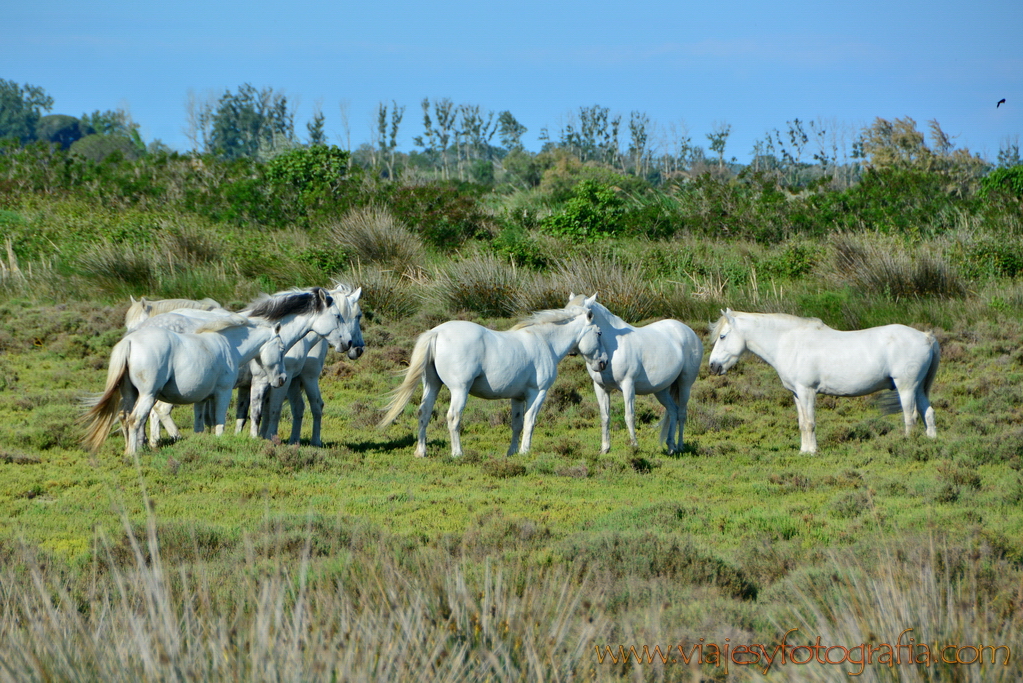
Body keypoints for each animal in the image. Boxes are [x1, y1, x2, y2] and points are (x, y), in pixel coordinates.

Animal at [83, 288, 347, 453]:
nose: (348, 344)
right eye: (338, 316)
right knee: (150, 413)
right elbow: (263, 414)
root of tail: (131, 339)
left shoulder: (241, 387)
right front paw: (260, 440)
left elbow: (236, 415)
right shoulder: (264, 382)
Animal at [237, 286, 366, 445]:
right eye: (358, 316)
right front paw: (272, 438)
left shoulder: (291, 380)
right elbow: (276, 408)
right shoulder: (300, 377)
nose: (358, 348)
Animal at [382, 296, 605, 456]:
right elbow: (530, 421)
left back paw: (421, 452)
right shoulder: (537, 393)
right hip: (459, 390)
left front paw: (512, 452)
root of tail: (437, 332)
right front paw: (525, 451)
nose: (602, 363)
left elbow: (516, 424)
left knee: (424, 413)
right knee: (453, 417)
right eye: (599, 333)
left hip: (432, 385)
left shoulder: (517, 397)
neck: (545, 341)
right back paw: (457, 453)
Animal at [568, 294, 703, 453]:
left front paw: (634, 446)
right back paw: (670, 446)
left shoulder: (628, 385)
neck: (612, 348)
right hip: (661, 390)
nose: (571, 350)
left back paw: (680, 446)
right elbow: (605, 417)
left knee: (681, 413)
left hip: (685, 384)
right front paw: (605, 448)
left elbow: (629, 415)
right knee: (673, 411)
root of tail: (688, 331)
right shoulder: (601, 388)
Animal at [707, 310, 937, 453]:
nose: (713, 365)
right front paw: (803, 450)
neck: (790, 342)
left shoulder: (807, 391)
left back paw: (906, 445)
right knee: (928, 413)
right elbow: (802, 423)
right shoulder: (797, 394)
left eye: (723, 336)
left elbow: (809, 423)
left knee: (910, 416)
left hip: (906, 387)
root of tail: (927, 337)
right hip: (919, 389)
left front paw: (812, 451)